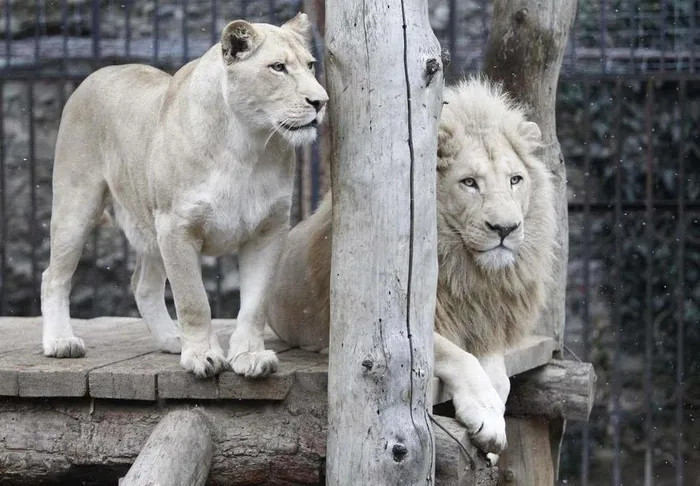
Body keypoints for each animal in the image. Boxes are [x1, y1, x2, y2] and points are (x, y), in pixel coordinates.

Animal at [41, 13, 328, 378]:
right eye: (278, 67)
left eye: (310, 65)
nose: (321, 102)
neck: (245, 145)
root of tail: (98, 73)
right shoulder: (176, 227)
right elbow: (193, 300)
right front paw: (203, 356)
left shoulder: (269, 230)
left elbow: (255, 303)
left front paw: (249, 356)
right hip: (77, 204)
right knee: (54, 277)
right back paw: (60, 341)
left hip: (148, 224)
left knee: (143, 285)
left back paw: (172, 339)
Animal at [267, 77, 556, 453]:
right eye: (469, 182)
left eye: (515, 180)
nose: (506, 229)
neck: (466, 271)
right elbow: (460, 357)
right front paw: (487, 417)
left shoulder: (487, 324)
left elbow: (499, 375)